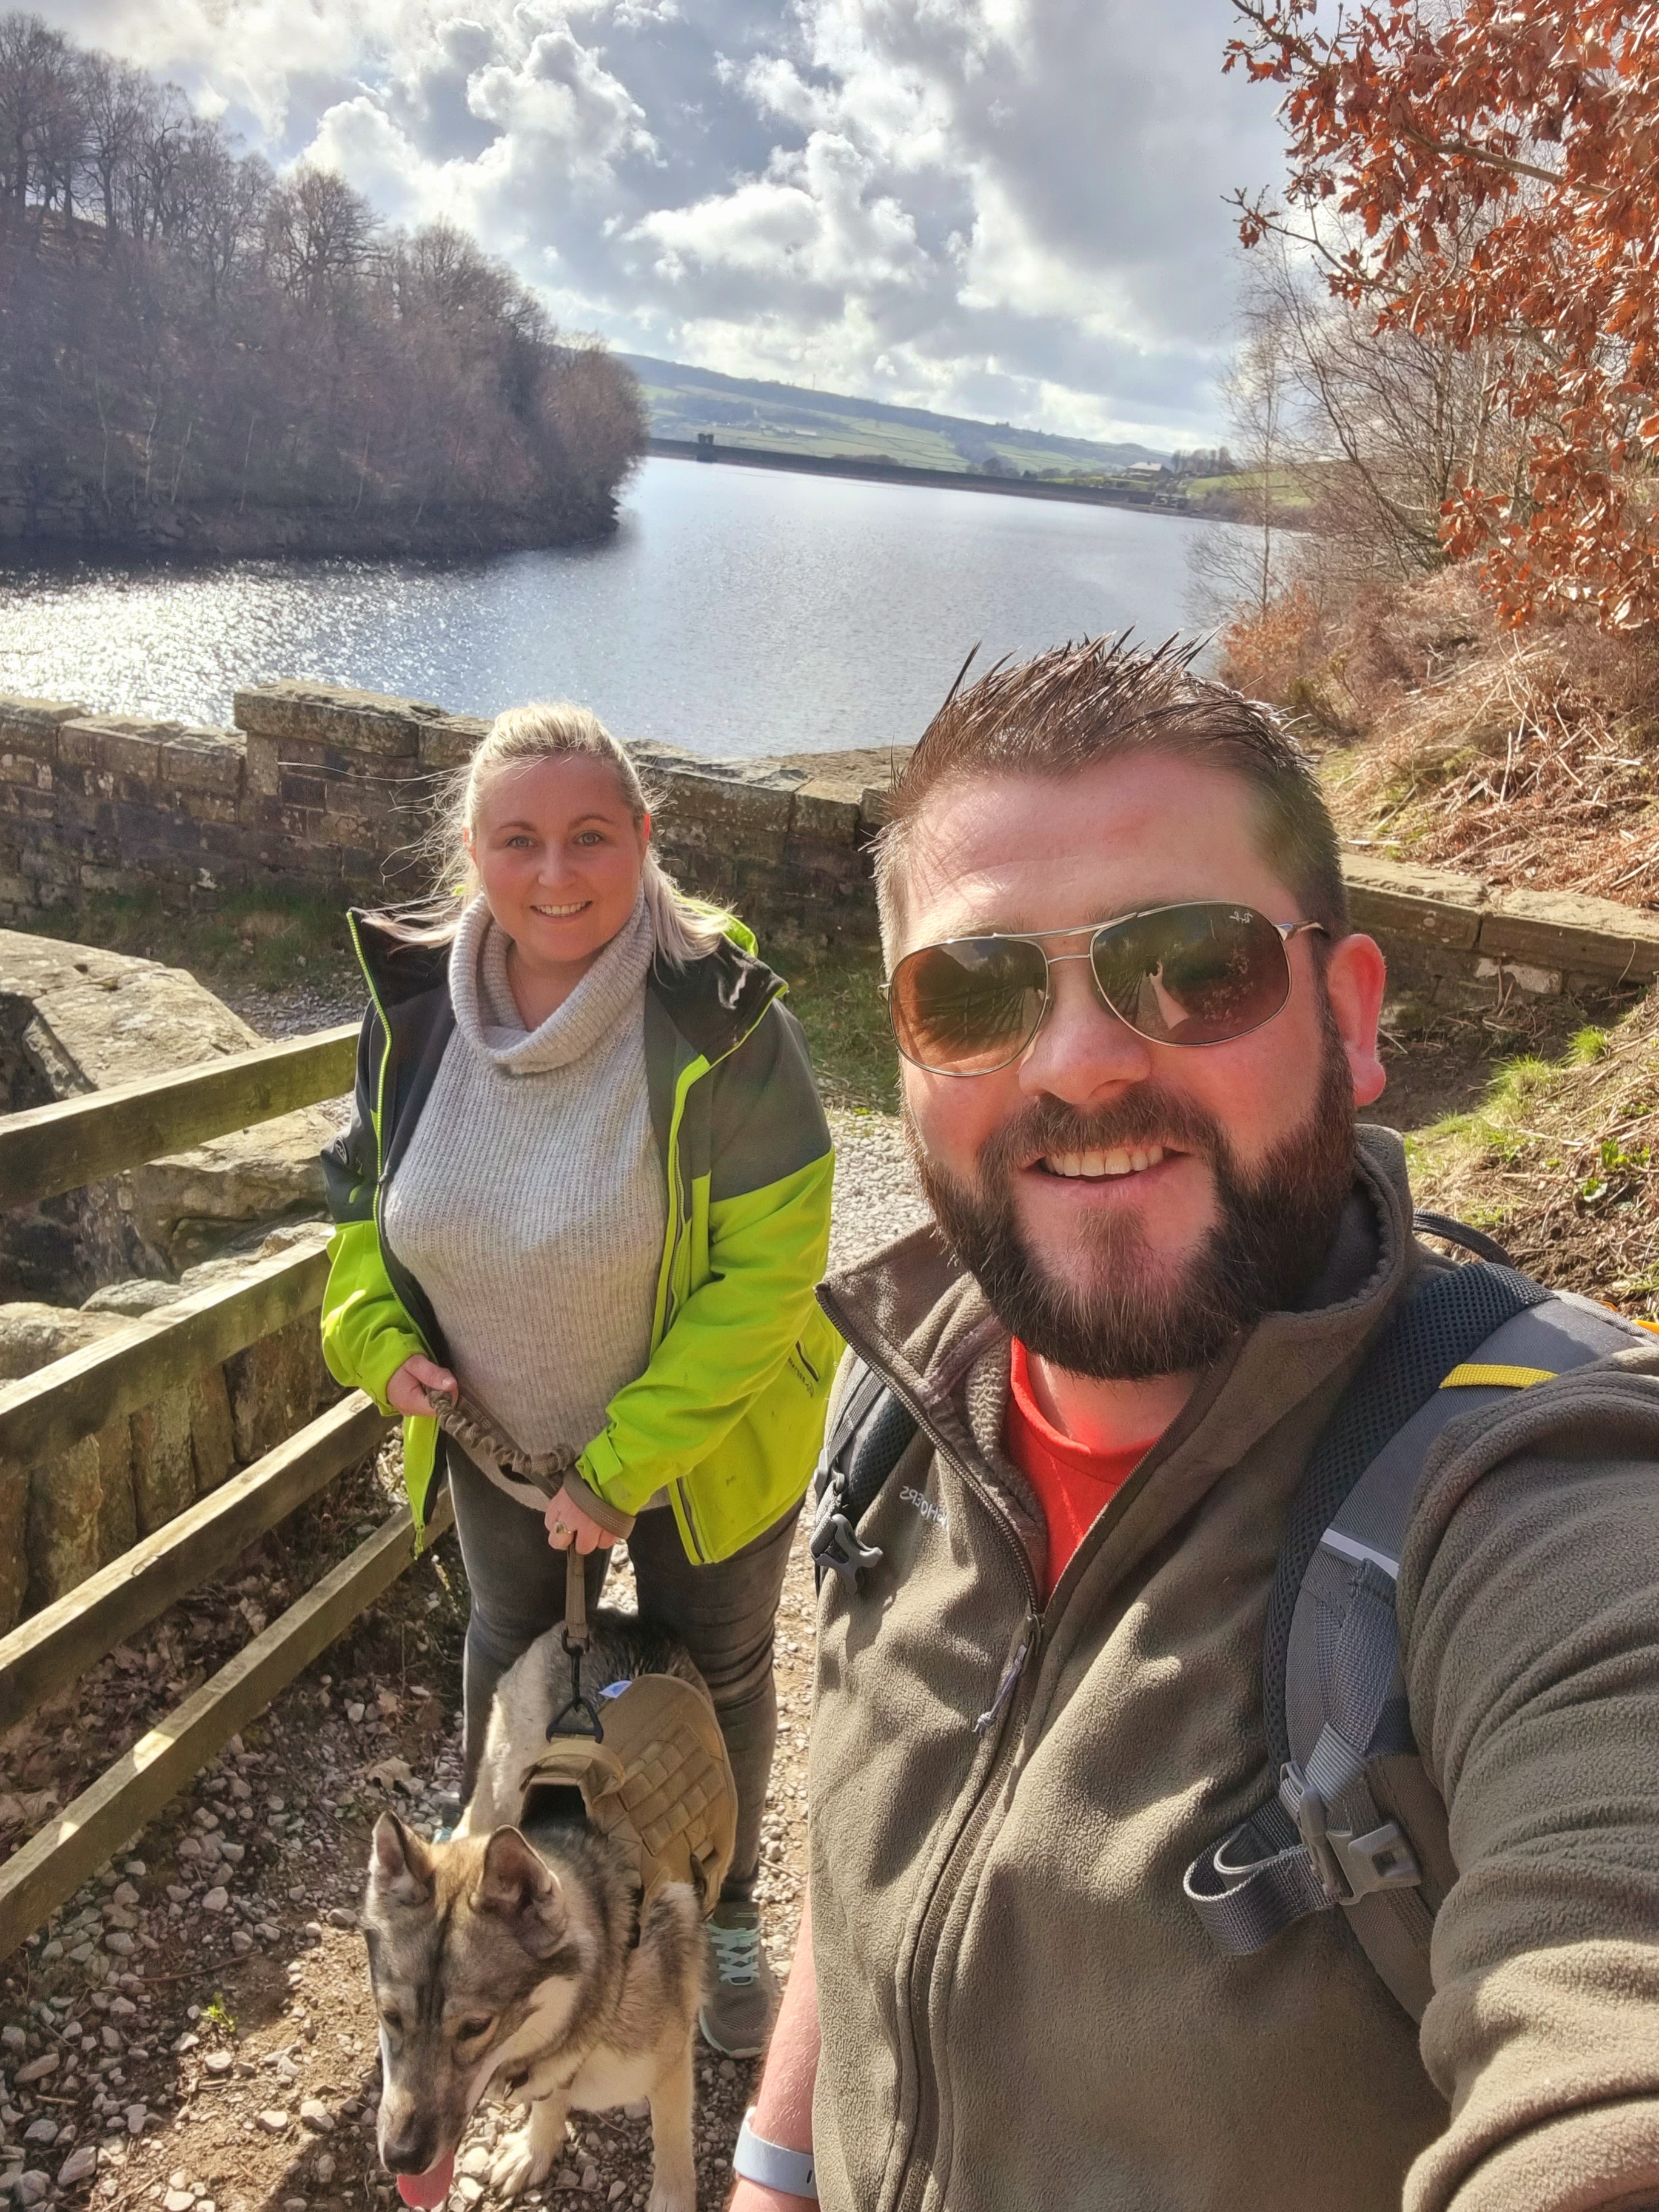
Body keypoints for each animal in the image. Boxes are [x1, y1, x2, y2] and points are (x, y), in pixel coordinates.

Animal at [362, 1608, 710, 2211]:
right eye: (390, 2016)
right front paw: (536, 2149)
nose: (401, 2158)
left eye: (476, 2027)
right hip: (496, 1788)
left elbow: (671, 2143)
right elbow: (550, 2101)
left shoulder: (669, 2068)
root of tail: (616, 1619)